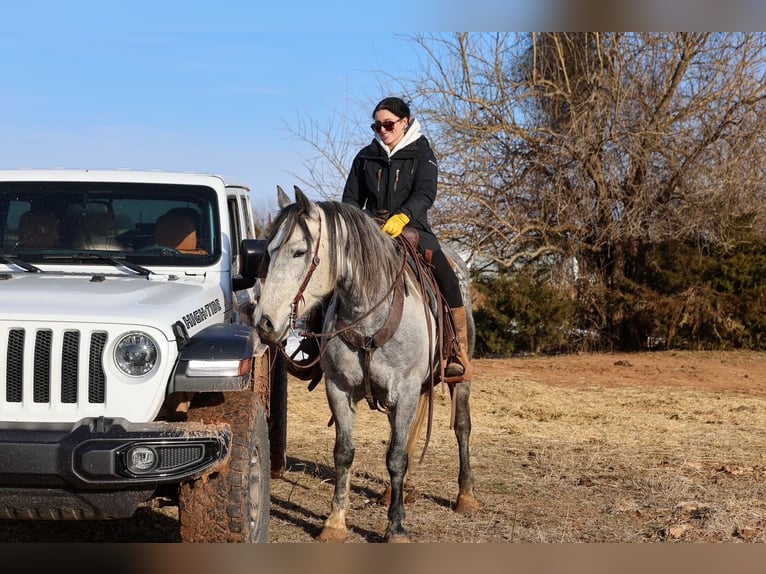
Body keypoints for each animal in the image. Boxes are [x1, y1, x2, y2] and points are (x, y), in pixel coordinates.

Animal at [254, 185, 479, 542]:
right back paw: (395, 492)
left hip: (460, 376)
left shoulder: (405, 391)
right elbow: (344, 453)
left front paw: (396, 527)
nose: (264, 322)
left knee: (461, 426)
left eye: (300, 251)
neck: (369, 315)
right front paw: (335, 522)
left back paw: (466, 496)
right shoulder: (339, 389)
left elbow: (396, 457)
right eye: (270, 251)